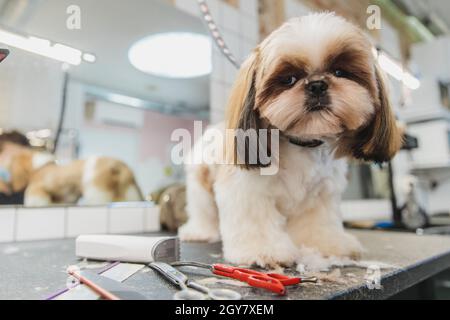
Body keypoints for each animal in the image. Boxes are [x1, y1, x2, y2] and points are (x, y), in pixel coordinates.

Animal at [178, 13, 400, 268]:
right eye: (289, 79)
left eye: (340, 72)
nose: (317, 85)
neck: (300, 143)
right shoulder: (247, 190)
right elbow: (256, 222)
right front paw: (263, 251)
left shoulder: (320, 196)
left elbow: (318, 224)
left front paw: (328, 245)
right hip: (200, 186)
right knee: (203, 212)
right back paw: (200, 232)